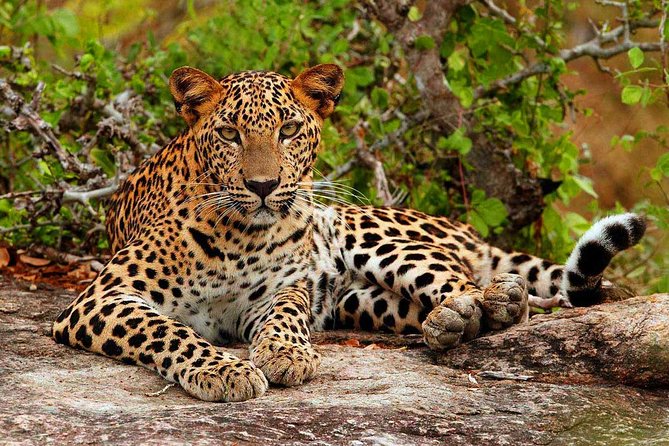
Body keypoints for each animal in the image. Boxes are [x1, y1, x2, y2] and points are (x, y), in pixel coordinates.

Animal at [52, 64, 646, 402]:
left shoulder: (279, 290)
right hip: (361, 302)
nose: (264, 186)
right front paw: (223, 370)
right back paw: (450, 323)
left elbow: (286, 315)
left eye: (289, 129)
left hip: (368, 232)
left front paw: (284, 354)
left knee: (472, 283)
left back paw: (484, 304)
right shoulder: (101, 298)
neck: (240, 235)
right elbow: (167, 330)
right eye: (229, 133)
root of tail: (463, 228)